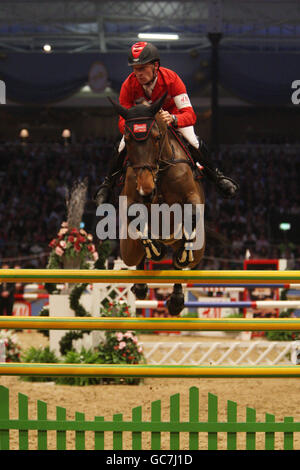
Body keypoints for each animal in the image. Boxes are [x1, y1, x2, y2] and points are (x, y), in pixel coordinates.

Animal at [110, 92, 206, 316]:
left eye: (156, 137)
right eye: (128, 140)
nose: (146, 189)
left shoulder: (192, 196)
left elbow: (192, 213)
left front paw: (183, 254)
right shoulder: (131, 197)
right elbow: (136, 216)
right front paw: (155, 250)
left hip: (199, 251)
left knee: (180, 264)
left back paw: (177, 298)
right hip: (128, 250)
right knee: (136, 260)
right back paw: (142, 282)